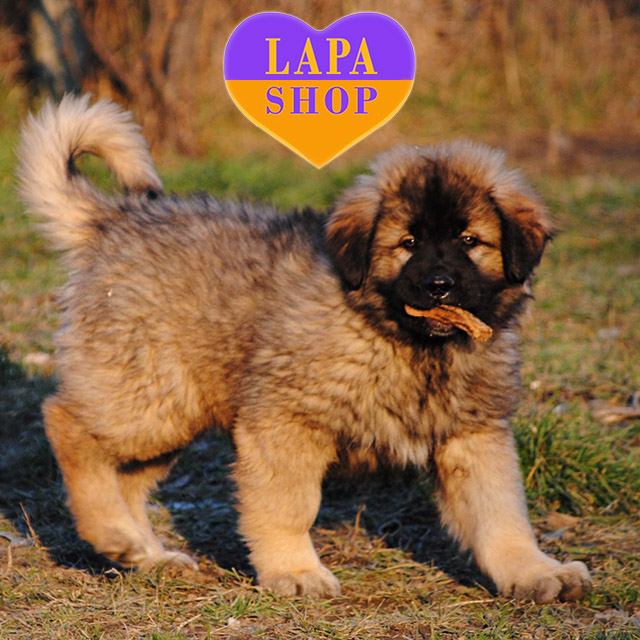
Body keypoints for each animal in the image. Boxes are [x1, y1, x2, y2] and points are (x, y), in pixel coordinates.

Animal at [17, 95, 592, 603]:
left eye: (471, 241)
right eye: (407, 244)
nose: (439, 286)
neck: (403, 342)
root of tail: (114, 219)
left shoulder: (473, 434)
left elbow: (502, 515)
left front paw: (536, 572)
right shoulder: (285, 421)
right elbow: (289, 505)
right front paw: (295, 571)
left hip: (169, 411)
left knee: (128, 478)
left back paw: (144, 553)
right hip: (148, 395)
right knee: (67, 422)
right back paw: (111, 530)